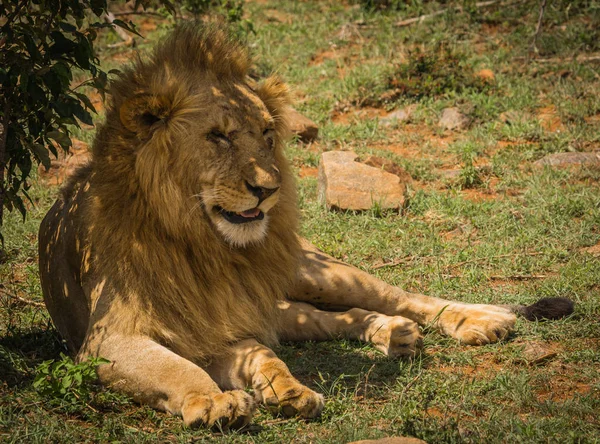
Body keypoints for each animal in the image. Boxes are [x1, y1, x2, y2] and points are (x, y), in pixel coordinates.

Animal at [37, 24, 572, 430]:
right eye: (218, 137)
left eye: (267, 135)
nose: (268, 189)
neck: (206, 248)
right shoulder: (112, 339)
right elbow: (179, 366)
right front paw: (227, 398)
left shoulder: (222, 322)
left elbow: (253, 354)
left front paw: (273, 390)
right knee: (325, 318)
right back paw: (393, 334)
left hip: (316, 270)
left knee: (403, 296)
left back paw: (480, 321)